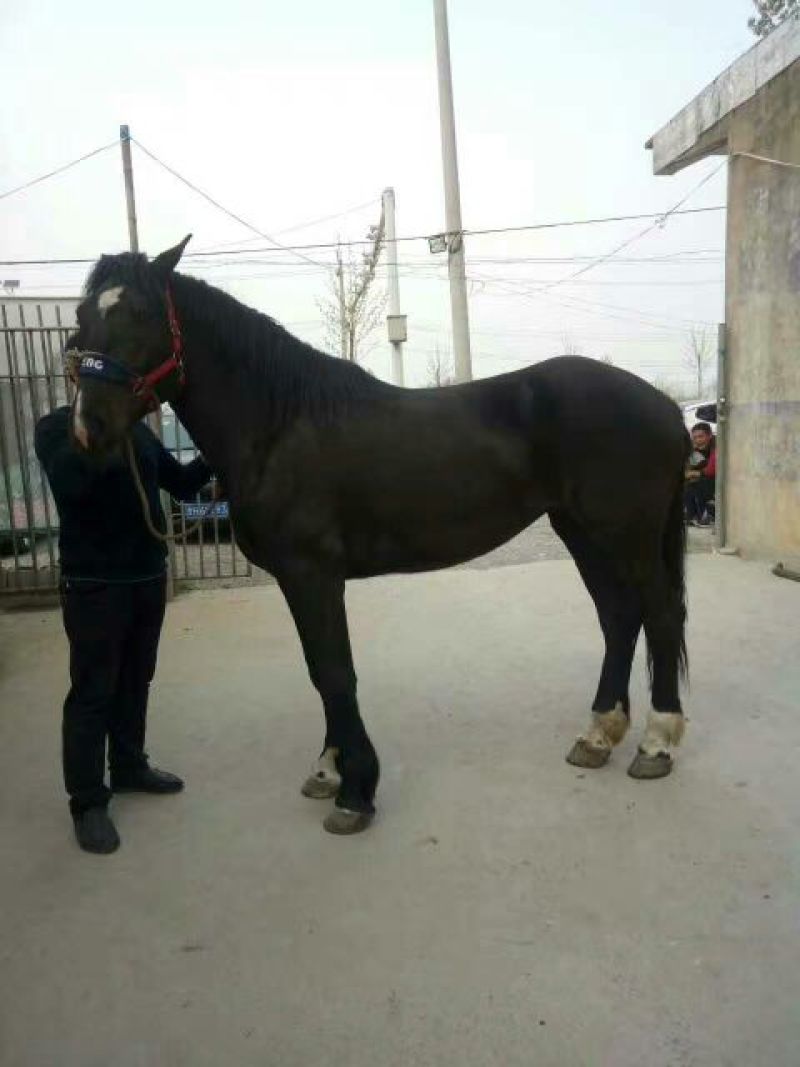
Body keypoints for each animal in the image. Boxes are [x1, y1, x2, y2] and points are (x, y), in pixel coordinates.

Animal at [66, 237, 689, 834]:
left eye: (142, 313)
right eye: (80, 314)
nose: (89, 426)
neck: (279, 425)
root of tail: (666, 407)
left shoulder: (313, 574)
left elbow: (334, 672)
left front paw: (354, 792)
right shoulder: (302, 581)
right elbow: (320, 671)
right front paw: (330, 769)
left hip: (625, 535)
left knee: (659, 615)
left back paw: (656, 742)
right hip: (582, 531)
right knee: (619, 616)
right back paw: (598, 736)